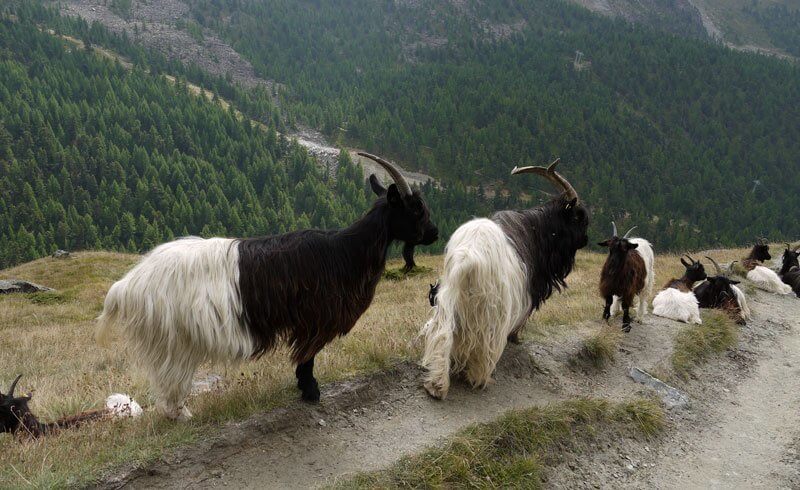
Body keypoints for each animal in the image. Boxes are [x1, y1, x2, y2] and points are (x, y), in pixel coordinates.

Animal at [98, 152, 444, 418]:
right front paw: (310, 391)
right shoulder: (315, 320)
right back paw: (180, 414)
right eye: (416, 209)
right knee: (169, 380)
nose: (435, 233)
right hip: (174, 339)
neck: (344, 252)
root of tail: (129, 284)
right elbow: (307, 357)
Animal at [418, 159, 588, 400]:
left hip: (449, 298)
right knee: (486, 345)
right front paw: (516, 339)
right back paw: (480, 377)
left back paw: (436, 384)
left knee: (442, 332)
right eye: (578, 217)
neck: (538, 230)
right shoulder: (525, 295)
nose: (586, 239)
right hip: (491, 309)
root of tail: (467, 259)